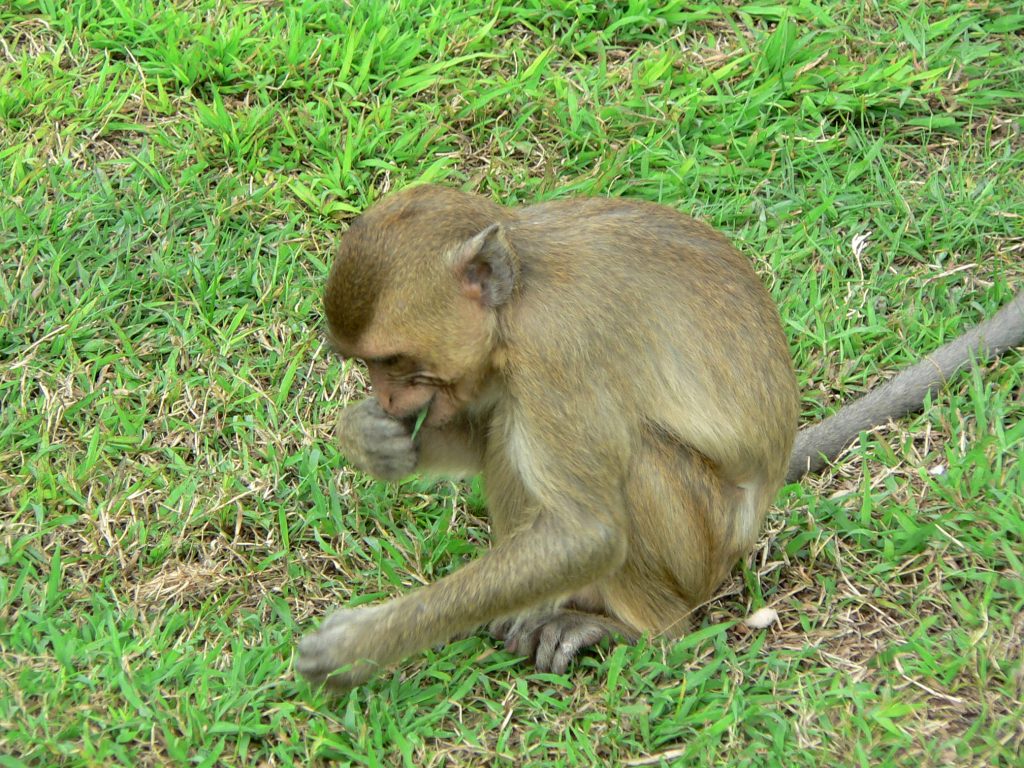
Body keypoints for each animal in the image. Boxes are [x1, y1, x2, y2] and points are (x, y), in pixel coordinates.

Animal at [294, 185, 1024, 692]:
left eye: (398, 363)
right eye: (368, 367)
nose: (391, 400)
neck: (521, 293)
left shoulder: (559, 352)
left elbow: (588, 533)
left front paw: (364, 643)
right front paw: (373, 440)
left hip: (702, 546)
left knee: (637, 463)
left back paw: (632, 630)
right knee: (509, 433)